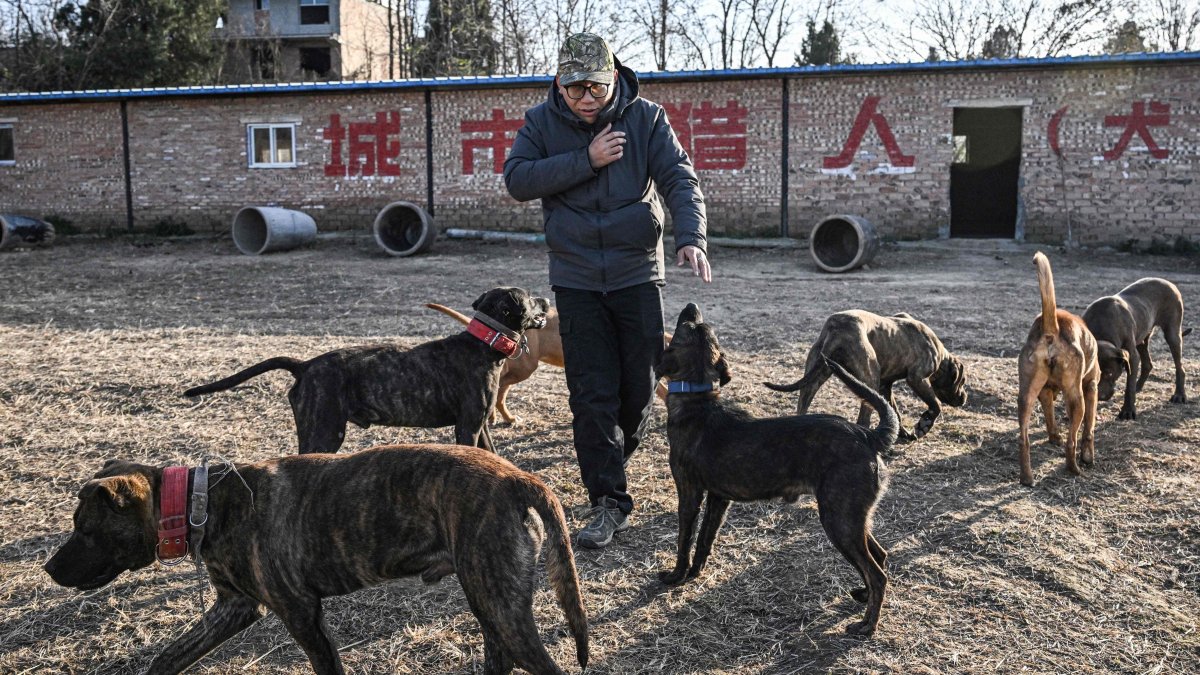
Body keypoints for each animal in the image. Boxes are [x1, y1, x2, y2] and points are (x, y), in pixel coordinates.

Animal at [44, 444, 588, 667]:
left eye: (84, 529)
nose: (48, 568)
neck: (203, 502)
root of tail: (519, 478)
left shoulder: (301, 613)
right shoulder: (233, 607)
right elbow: (170, 655)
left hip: (500, 606)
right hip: (492, 606)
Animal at [182, 285, 549, 454]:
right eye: (530, 298)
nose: (547, 301)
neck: (483, 343)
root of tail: (305, 366)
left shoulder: (478, 425)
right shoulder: (467, 427)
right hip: (326, 430)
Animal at [652, 302, 897, 634]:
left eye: (684, 328)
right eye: (699, 326)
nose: (692, 306)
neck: (697, 398)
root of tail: (867, 436)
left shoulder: (690, 494)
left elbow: (685, 539)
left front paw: (676, 576)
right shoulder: (719, 498)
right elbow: (705, 540)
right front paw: (695, 574)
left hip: (839, 520)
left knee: (877, 573)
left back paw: (867, 626)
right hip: (853, 518)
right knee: (880, 556)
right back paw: (862, 595)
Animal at [1022, 251, 1099, 482]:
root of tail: (1052, 329)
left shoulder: (1045, 392)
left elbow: (1050, 417)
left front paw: (1054, 436)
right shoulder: (1091, 388)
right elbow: (1088, 429)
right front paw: (1088, 455)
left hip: (1026, 396)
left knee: (1023, 439)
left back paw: (1027, 477)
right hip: (1077, 399)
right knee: (1071, 441)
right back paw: (1074, 468)